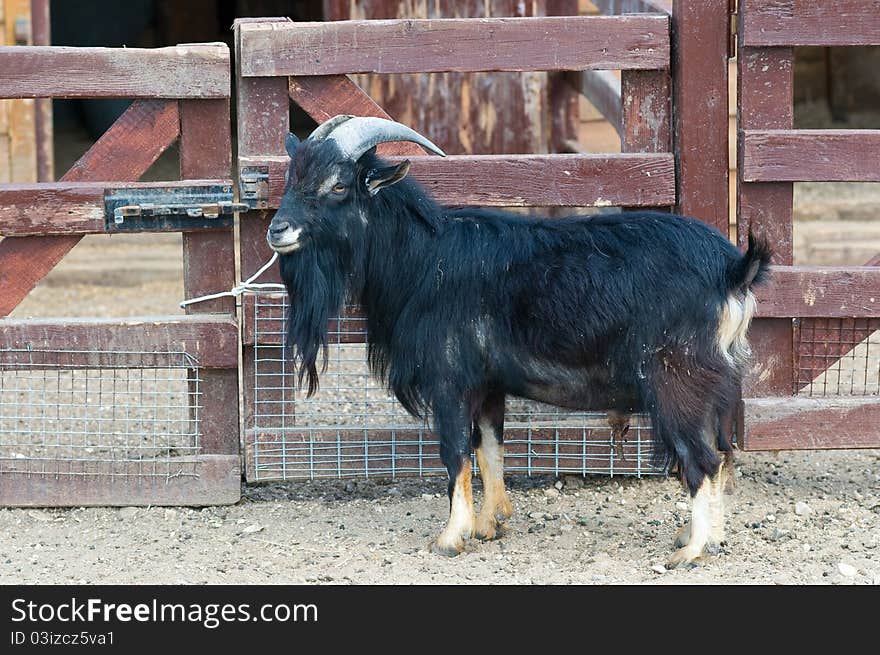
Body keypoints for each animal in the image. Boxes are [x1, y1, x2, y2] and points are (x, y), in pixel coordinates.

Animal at [268, 116, 768, 568]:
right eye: (293, 178)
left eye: (338, 185)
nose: (278, 230)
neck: (424, 259)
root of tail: (733, 271)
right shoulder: (489, 385)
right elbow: (489, 448)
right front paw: (490, 525)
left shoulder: (450, 378)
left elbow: (455, 453)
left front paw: (450, 538)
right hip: (712, 385)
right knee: (722, 453)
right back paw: (707, 538)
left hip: (676, 381)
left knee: (702, 459)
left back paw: (691, 550)